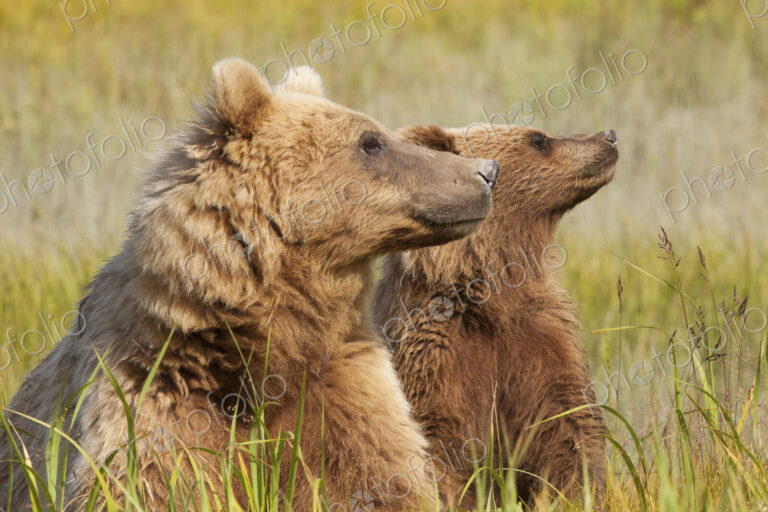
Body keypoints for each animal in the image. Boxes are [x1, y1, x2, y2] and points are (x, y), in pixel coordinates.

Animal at [0, 60, 501, 511]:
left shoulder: (341, 388)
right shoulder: (153, 397)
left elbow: (379, 478)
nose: (486, 171)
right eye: (371, 141)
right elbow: (152, 485)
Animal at [372, 123, 618, 508]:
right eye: (538, 139)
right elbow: (440, 443)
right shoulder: (436, 354)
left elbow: (568, 427)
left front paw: (575, 494)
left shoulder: (542, 339)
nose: (608, 136)